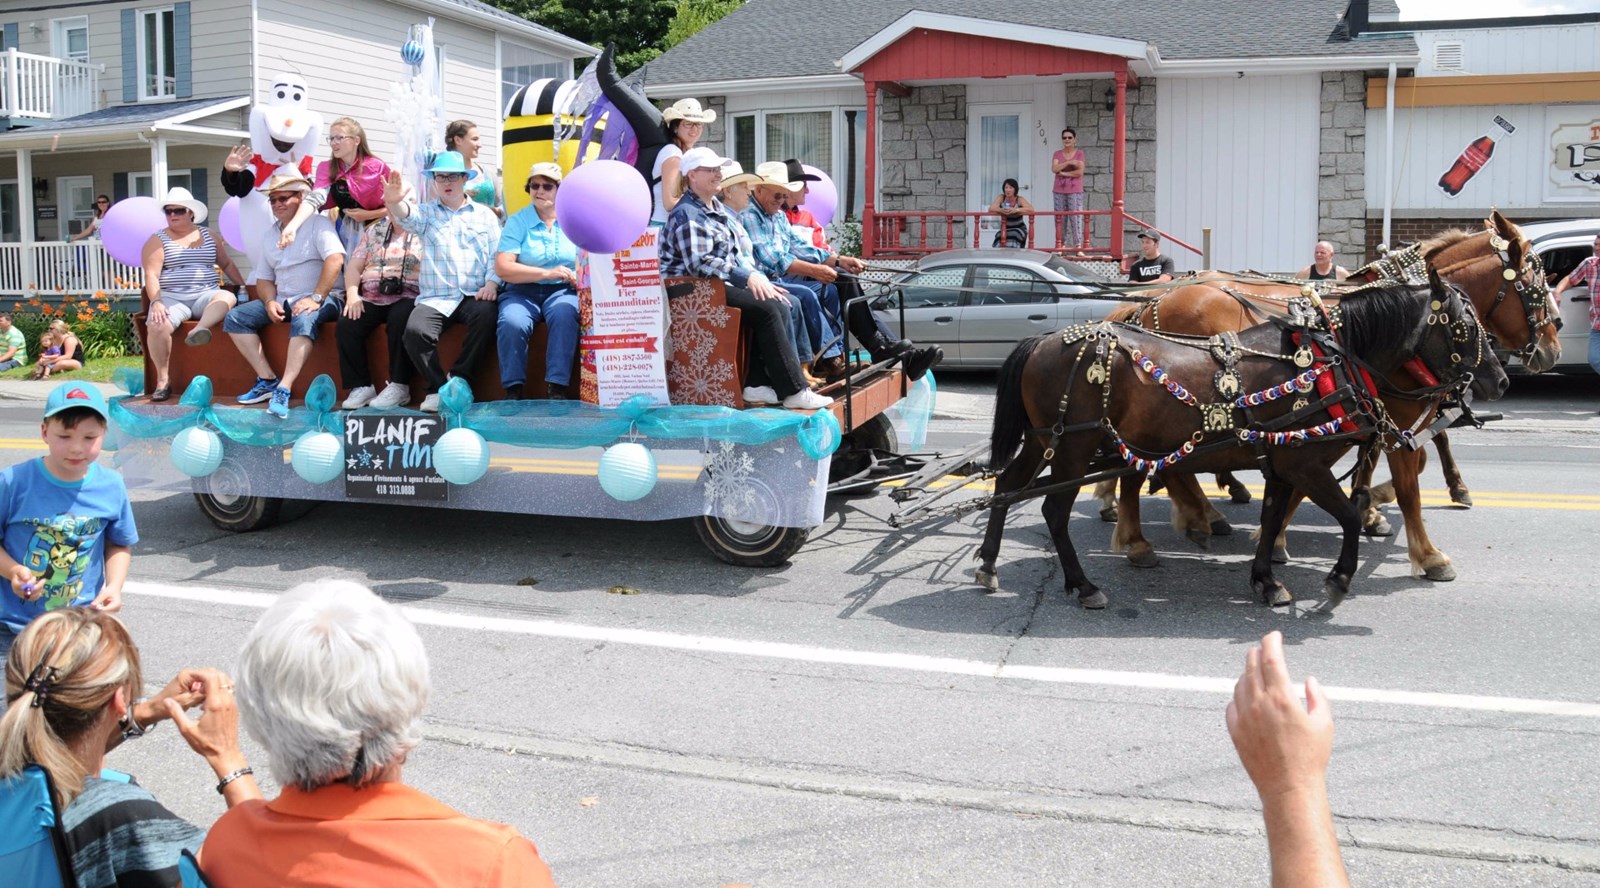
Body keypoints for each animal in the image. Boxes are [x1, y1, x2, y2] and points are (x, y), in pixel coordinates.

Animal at [979, 278, 1504, 611]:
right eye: (1463, 326)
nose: (1498, 380)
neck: (1330, 363)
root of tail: (1043, 339)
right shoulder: (1305, 464)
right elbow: (1349, 515)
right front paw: (1339, 579)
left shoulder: (1282, 464)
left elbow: (1273, 520)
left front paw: (1266, 580)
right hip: (1072, 448)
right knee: (1053, 510)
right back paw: (1085, 584)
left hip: (1043, 441)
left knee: (1006, 486)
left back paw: (988, 563)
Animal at [1094, 211, 1555, 579]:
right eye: (1534, 284)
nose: (1550, 349)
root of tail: (1154, 299)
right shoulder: (1394, 419)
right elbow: (1411, 479)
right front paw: (1424, 549)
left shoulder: (1368, 417)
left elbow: (1378, 462)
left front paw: (1365, 507)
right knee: (1164, 465)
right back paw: (1179, 519)